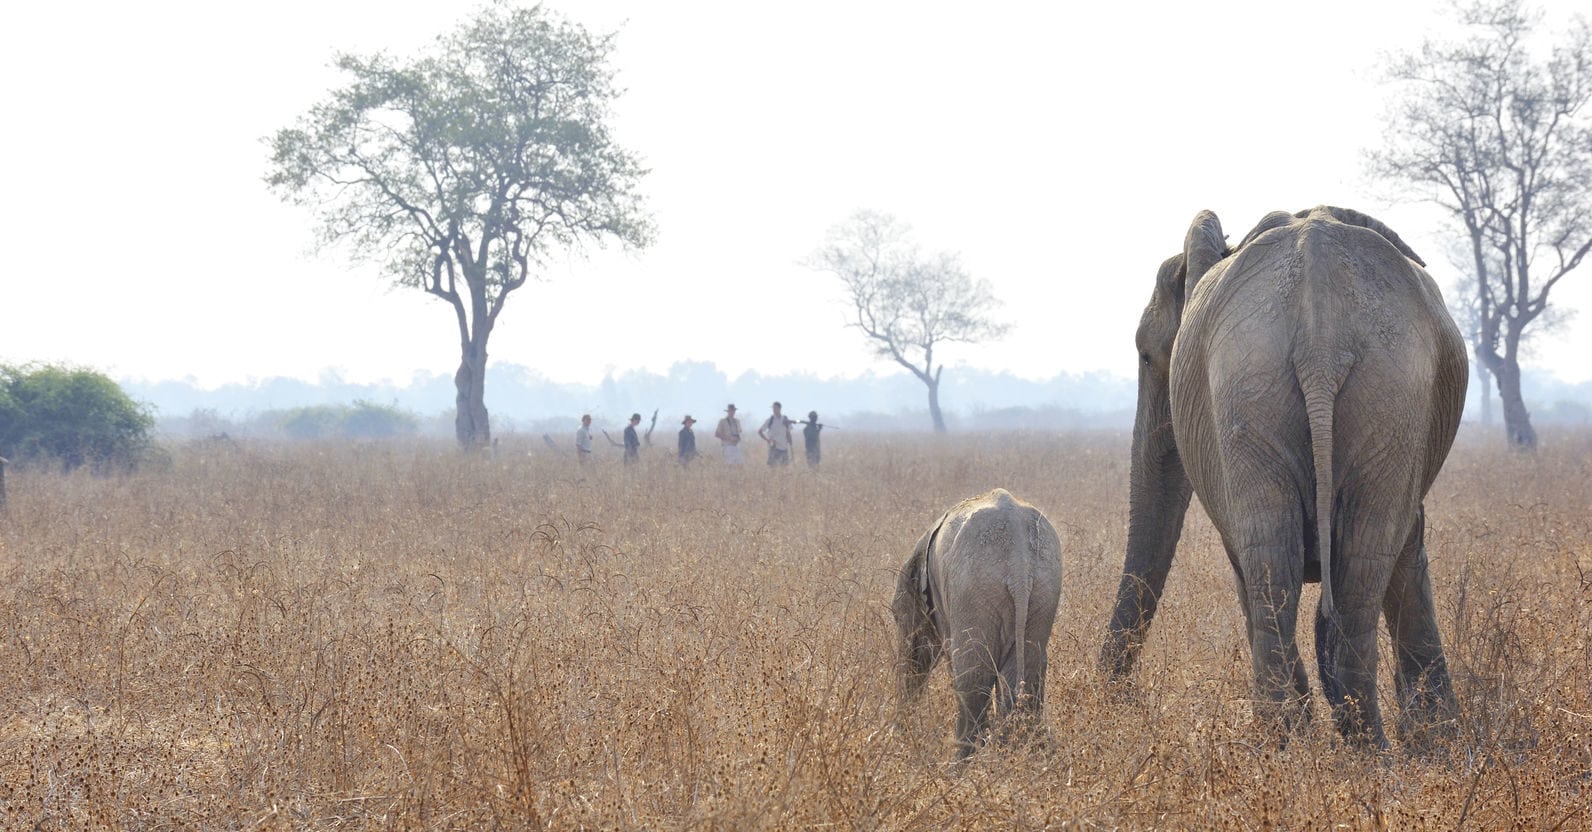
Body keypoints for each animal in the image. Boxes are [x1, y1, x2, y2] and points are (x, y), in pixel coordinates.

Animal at [891, 489, 1063, 760]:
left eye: (896, 615)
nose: (900, 733)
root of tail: (1019, 563)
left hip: (974, 590)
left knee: (972, 675)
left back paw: (961, 762)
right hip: (1043, 591)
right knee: (1023, 676)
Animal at [1101, 206, 1458, 747]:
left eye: (1145, 355)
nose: (1113, 698)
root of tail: (1320, 341)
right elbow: (1403, 549)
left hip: (1294, 390)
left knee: (1286, 561)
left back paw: (1296, 745)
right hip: (1350, 395)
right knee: (1335, 560)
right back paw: (1354, 749)